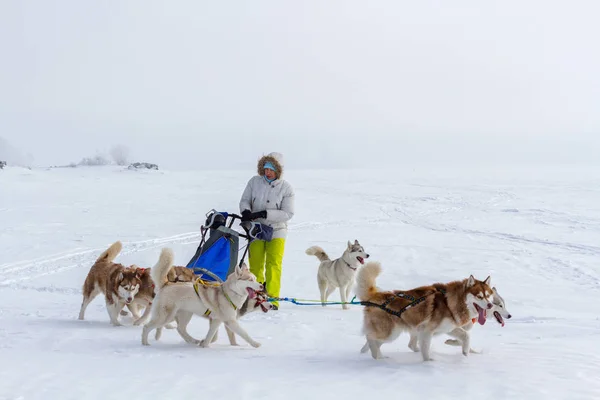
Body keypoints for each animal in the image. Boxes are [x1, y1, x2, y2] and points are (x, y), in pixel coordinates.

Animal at [356, 262, 492, 362]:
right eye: (479, 296)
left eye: (488, 295)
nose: (490, 305)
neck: (450, 301)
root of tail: (375, 295)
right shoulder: (426, 331)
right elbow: (425, 350)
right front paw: (428, 363)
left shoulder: (449, 328)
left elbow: (466, 336)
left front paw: (465, 353)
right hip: (391, 332)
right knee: (370, 337)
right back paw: (376, 356)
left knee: (374, 341)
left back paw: (374, 355)